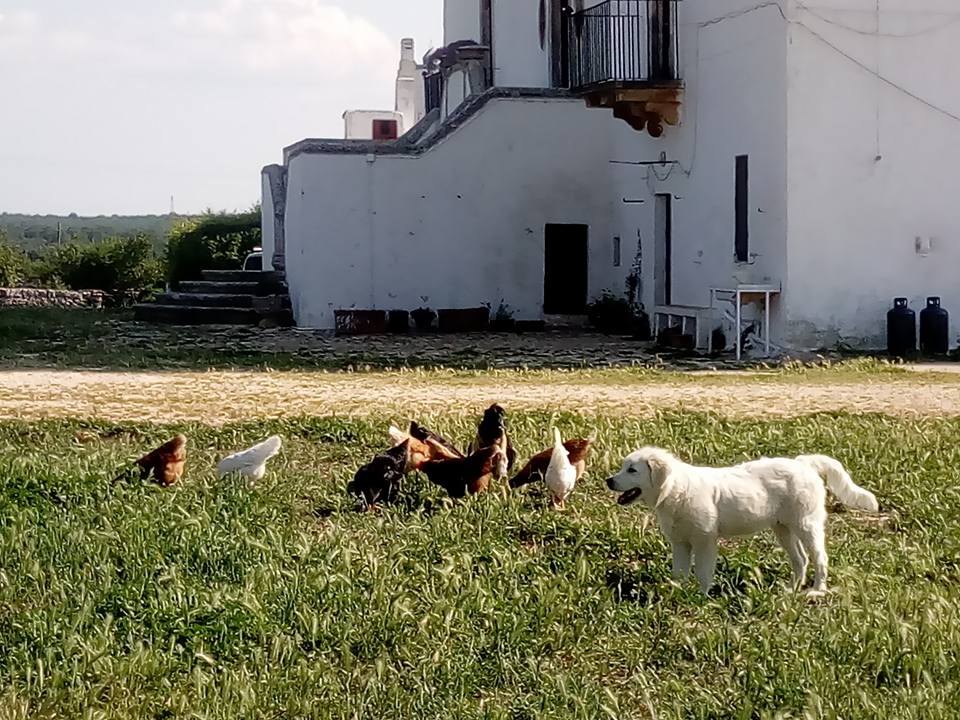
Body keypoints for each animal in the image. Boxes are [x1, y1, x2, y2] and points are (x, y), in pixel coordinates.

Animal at [608, 448, 876, 592]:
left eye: (632, 470)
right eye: (623, 467)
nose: (609, 481)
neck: (675, 490)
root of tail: (803, 463)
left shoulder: (705, 540)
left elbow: (703, 572)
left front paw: (701, 598)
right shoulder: (680, 543)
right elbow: (680, 573)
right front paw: (678, 593)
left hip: (806, 524)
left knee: (820, 558)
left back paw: (818, 590)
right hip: (783, 528)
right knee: (800, 559)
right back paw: (791, 590)